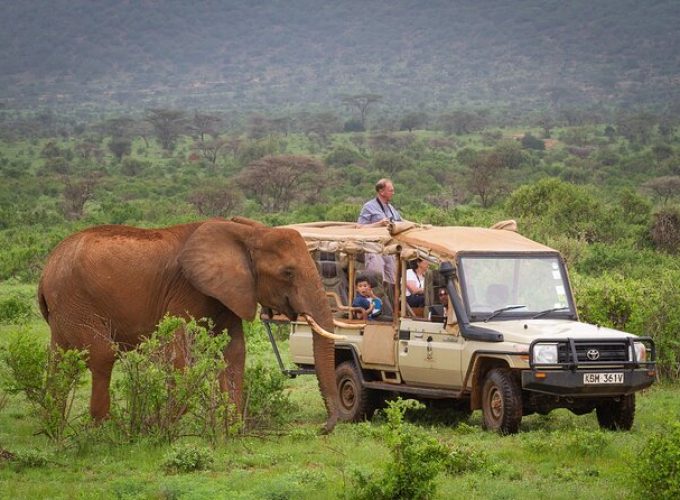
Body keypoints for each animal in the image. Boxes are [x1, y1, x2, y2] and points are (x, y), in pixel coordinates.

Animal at [37, 217, 340, 432]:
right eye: (287, 273)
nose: (323, 428)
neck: (247, 234)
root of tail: (47, 268)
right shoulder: (186, 290)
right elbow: (178, 351)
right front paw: (158, 425)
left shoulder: (228, 292)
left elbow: (234, 352)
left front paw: (231, 428)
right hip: (75, 300)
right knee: (102, 355)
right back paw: (106, 429)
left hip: (64, 309)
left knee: (59, 359)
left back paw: (55, 426)